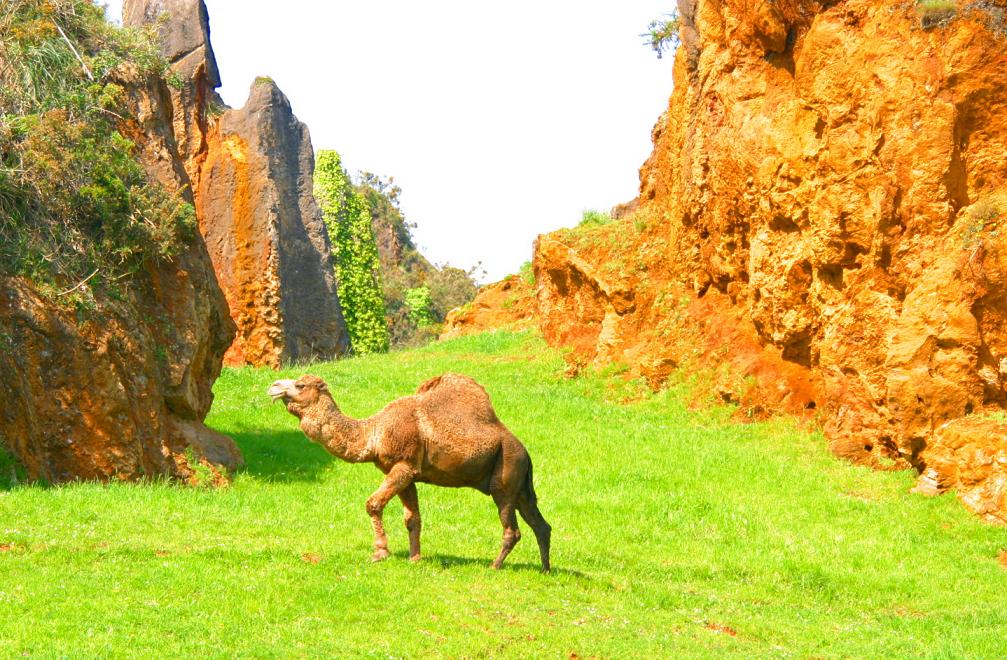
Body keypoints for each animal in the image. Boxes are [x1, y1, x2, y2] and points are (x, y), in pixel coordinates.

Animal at [267, 374, 551, 572]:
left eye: (300, 385)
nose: (272, 386)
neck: (373, 432)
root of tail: (525, 451)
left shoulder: (404, 465)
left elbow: (373, 503)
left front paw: (380, 552)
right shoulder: (410, 473)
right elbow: (413, 519)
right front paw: (415, 559)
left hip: (506, 474)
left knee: (512, 527)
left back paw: (494, 566)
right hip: (520, 484)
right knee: (540, 523)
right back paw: (545, 569)